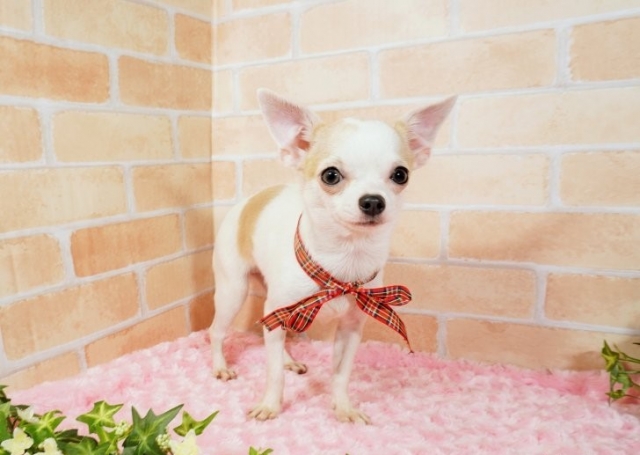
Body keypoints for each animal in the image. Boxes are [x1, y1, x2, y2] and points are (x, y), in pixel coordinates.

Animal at [209, 89, 455, 424]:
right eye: (331, 175)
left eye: (400, 174)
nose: (373, 201)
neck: (344, 259)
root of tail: (249, 199)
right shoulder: (275, 311)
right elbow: (273, 375)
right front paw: (270, 406)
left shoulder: (351, 328)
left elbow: (341, 374)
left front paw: (343, 407)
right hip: (233, 291)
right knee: (217, 332)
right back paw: (221, 366)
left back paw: (288, 359)